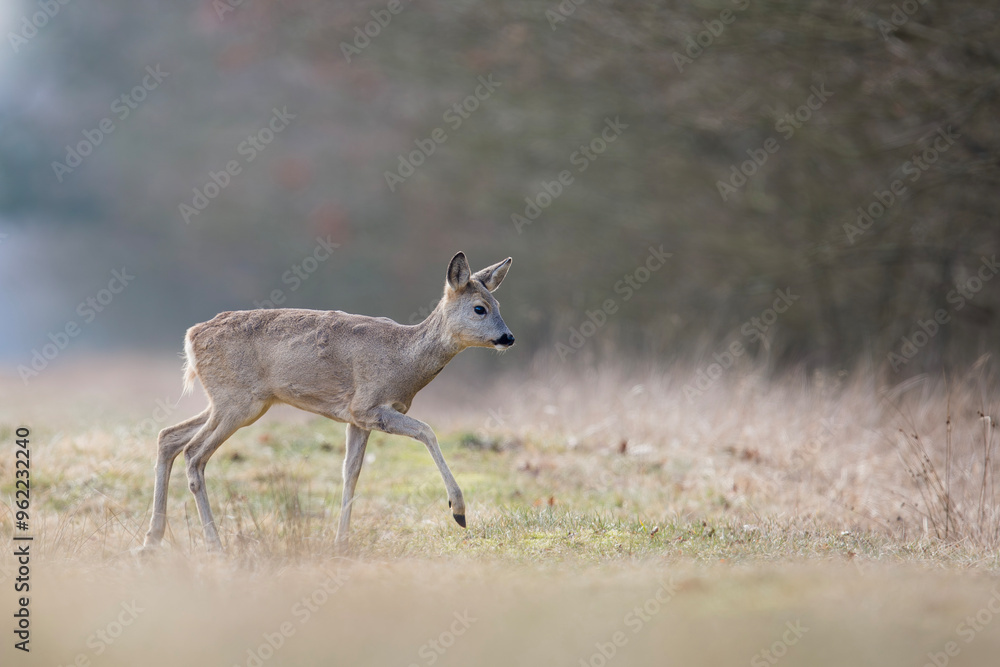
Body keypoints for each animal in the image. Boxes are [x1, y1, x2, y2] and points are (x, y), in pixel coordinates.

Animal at [141, 252, 514, 553]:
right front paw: (458, 510)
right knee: (194, 454)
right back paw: (214, 545)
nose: (508, 337)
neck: (403, 360)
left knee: (169, 436)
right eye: (479, 309)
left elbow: (351, 471)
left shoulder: (357, 419)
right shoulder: (368, 405)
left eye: (498, 307)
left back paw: (152, 540)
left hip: (229, 401)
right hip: (237, 402)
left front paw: (341, 542)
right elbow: (427, 431)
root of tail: (191, 337)